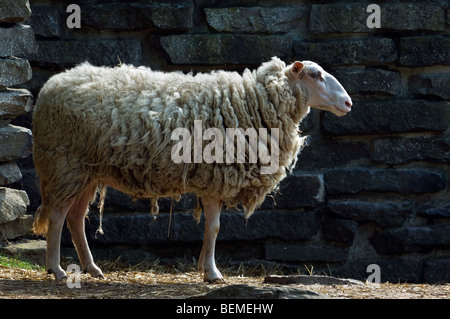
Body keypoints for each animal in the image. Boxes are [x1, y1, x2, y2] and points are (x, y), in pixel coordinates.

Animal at [33, 57, 354, 282]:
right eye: (315, 75)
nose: (348, 103)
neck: (254, 102)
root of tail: (51, 86)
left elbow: (212, 228)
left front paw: (203, 267)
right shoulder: (216, 176)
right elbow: (214, 227)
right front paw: (212, 272)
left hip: (86, 171)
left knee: (75, 218)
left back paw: (91, 268)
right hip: (64, 164)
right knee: (58, 216)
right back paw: (56, 270)